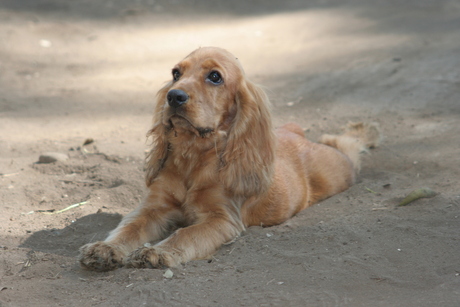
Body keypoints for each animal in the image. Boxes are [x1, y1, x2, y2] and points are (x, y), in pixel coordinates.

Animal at [79, 46, 380, 272]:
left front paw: (158, 252)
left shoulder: (222, 219)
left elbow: (185, 233)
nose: (173, 96)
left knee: (347, 146)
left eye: (215, 77)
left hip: (339, 170)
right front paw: (105, 248)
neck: (193, 156)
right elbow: (129, 228)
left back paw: (365, 130)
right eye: (176, 73)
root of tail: (293, 133)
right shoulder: (153, 207)